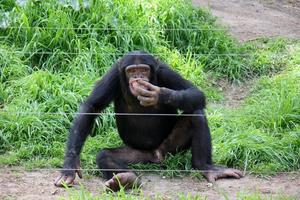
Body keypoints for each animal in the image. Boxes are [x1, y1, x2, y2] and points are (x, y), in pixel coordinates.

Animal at [54, 50, 241, 191]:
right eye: (131, 71)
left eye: (144, 70)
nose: (138, 77)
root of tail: (155, 156)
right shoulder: (113, 74)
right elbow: (92, 106)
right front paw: (70, 167)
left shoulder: (164, 70)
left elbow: (196, 92)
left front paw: (158, 94)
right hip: (137, 154)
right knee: (104, 155)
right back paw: (127, 179)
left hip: (171, 148)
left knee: (196, 114)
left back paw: (207, 168)